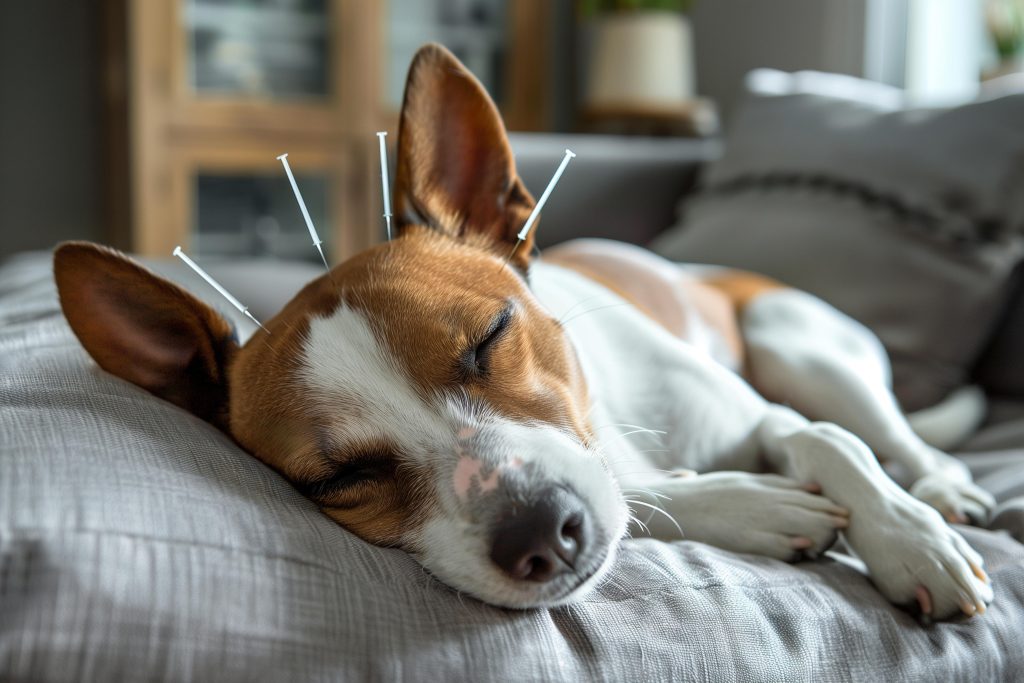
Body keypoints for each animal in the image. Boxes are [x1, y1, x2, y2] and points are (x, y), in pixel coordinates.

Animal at [51, 42, 995, 618]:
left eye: (492, 335)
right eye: (339, 478)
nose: (540, 534)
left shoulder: (761, 414)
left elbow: (832, 443)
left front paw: (911, 540)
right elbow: (655, 501)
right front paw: (744, 502)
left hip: (794, 339)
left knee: (890, 431)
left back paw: (943, 488)